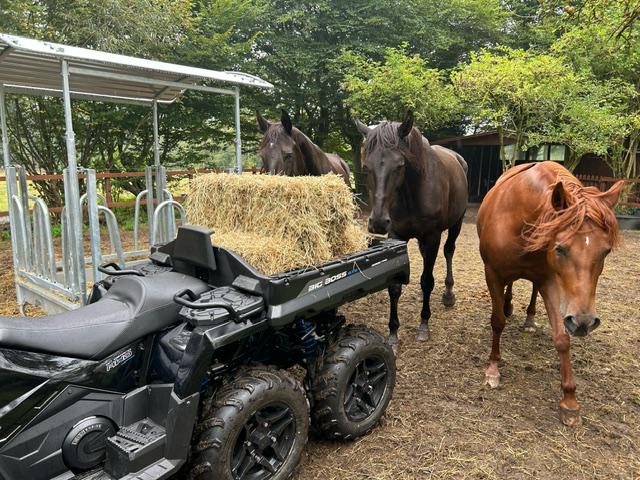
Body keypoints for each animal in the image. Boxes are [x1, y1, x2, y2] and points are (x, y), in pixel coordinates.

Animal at [354, 110, 468, 345]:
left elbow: (427, 280)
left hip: (456, 224)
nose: (378, 222)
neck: (412, 192)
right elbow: (395, 286)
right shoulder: (397, 235)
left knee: (448, 251)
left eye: (399, 165)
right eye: (366, 167)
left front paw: (423, 324)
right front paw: (393, 333)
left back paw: (448, 294)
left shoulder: (433, 236)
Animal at [477, 161, 624, 426]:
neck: (521, 217)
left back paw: (529, 318)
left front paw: (570, 400)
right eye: (561, 248)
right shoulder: (492, 273)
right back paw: (507, 305)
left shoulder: (549, 280)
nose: (584, 322)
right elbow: (497, 322)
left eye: (606, 251)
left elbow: (562, 338)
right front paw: (493, 368)